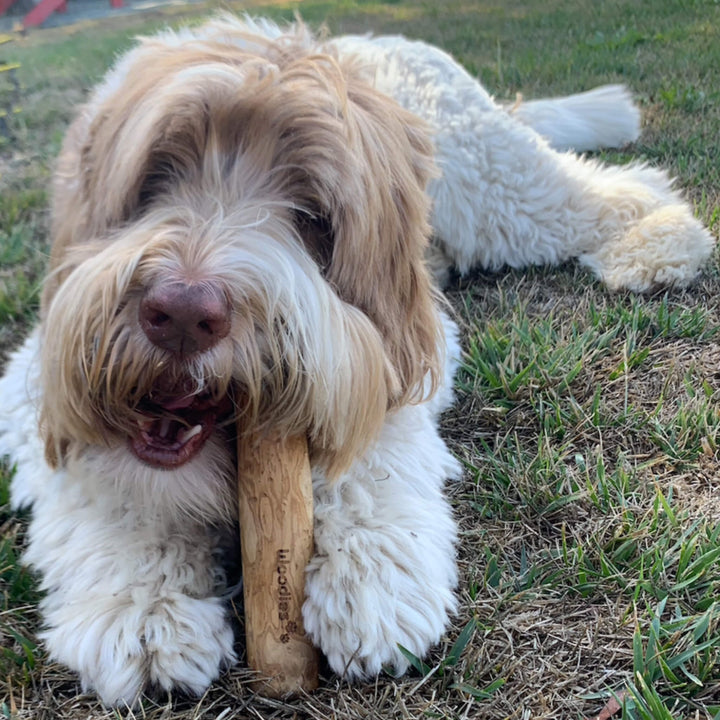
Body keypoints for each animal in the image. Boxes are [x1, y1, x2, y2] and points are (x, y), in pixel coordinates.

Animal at [0, 14, 714, 707]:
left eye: (312, 216)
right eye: (155, 178)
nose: (180, 313)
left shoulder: (412, 337)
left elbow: (373, 430)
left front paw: (369, 576)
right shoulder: (32, 376)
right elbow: (105, 483)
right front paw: (144, 607)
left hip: (490, 190)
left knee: (609, 186)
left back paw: (658, 244)